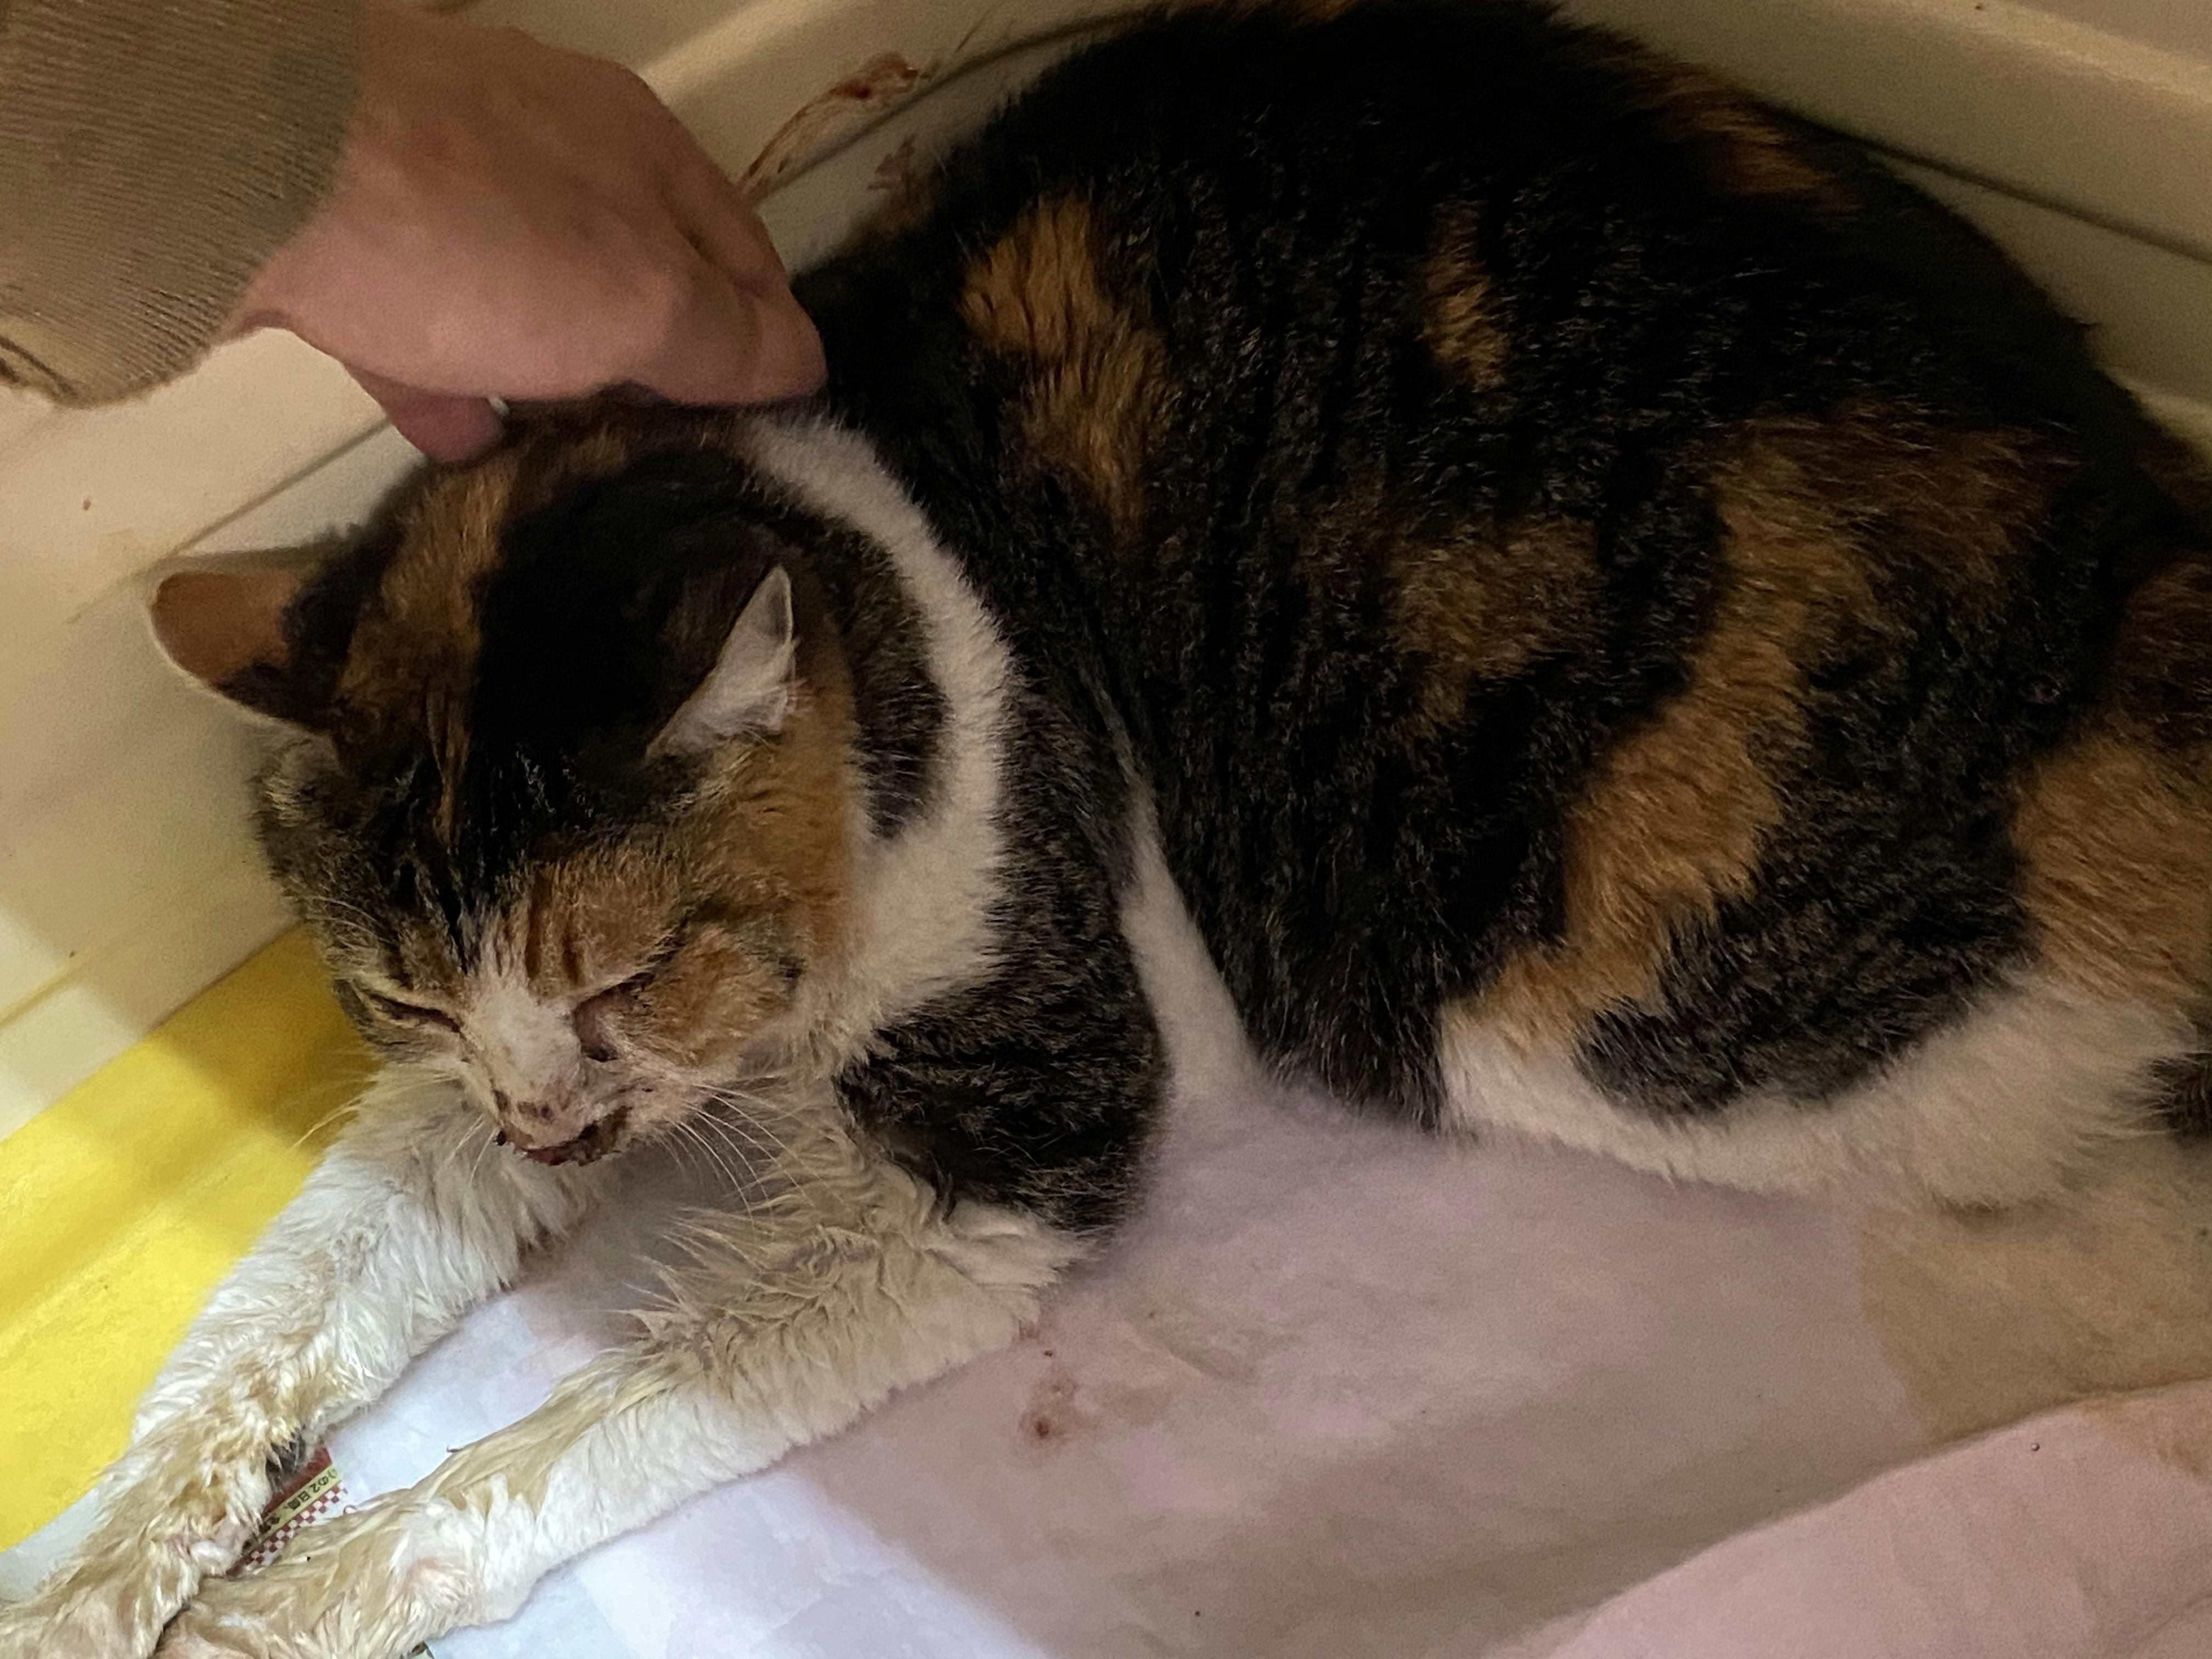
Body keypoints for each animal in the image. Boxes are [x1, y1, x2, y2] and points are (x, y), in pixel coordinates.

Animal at [9, 1, 2212, 1654]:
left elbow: (592, 1429)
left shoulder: (1016, 1150)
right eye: (401, 996)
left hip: (1608, 1008)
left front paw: (303, 1595)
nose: (557, 1129)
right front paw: (96, 1581)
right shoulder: (474, 1100)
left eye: (633, 967)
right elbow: (275, 1317)